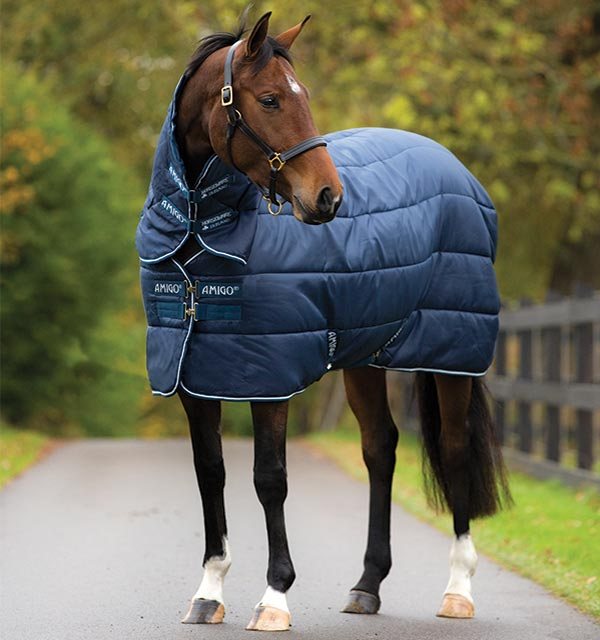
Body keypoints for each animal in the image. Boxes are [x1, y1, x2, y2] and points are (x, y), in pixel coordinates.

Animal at [136, 11, 510, 636]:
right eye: (269, 99)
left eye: (303, 96)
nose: (329, 197)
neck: (202, 234)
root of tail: (458, 171)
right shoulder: (194, 374)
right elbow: (210, 471)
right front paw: (209, 592)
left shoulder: (269, 376)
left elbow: (269, 478)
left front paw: (274, 597)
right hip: (364, 358)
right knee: (380, 448)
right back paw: (367, 585)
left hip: (451, 353)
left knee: (455, 448)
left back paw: (458, 589)